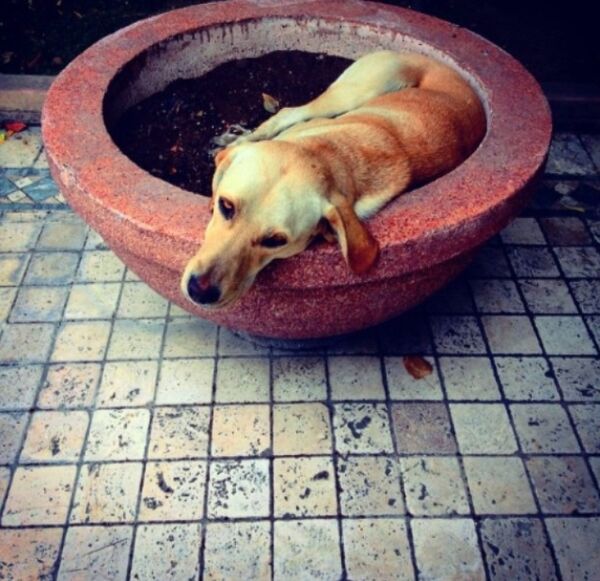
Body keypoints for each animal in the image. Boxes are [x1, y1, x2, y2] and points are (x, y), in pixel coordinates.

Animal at [181, 50, 486, 308]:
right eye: (226, 206)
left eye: (275, 241)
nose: (200, 291)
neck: (332, 155)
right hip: (349, 94)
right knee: (286, 113)